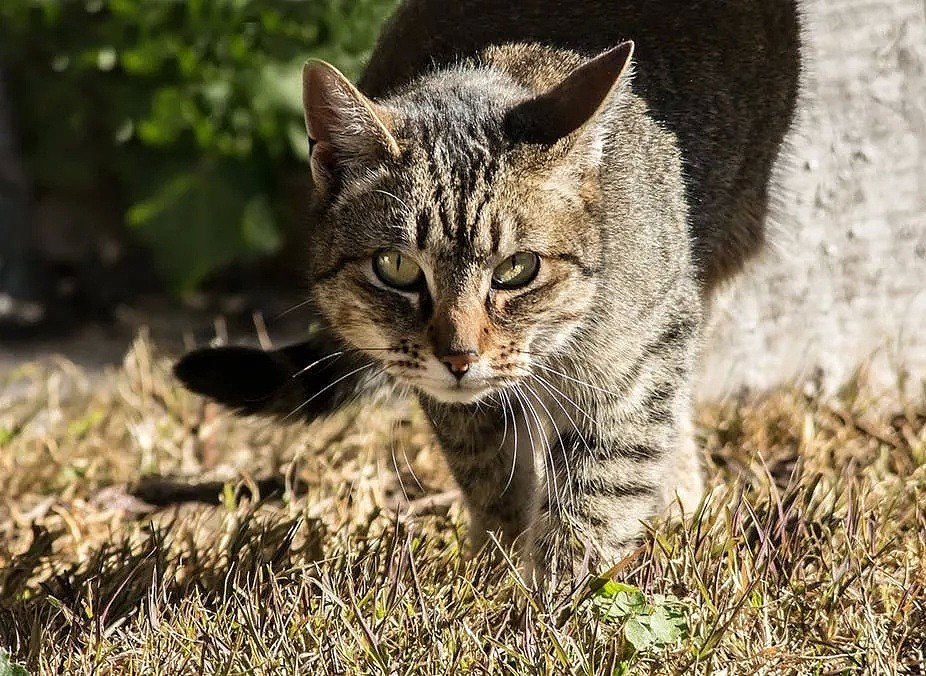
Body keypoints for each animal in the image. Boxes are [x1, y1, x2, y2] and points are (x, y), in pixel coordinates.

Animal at [176, 0, 804, 580]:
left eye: (517, 269)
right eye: (396, 267)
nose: (459, 357)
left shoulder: (641, 362)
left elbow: (597, 499)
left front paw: (552, 606)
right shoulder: (458, 404)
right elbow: (490, 476)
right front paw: (492, 575)